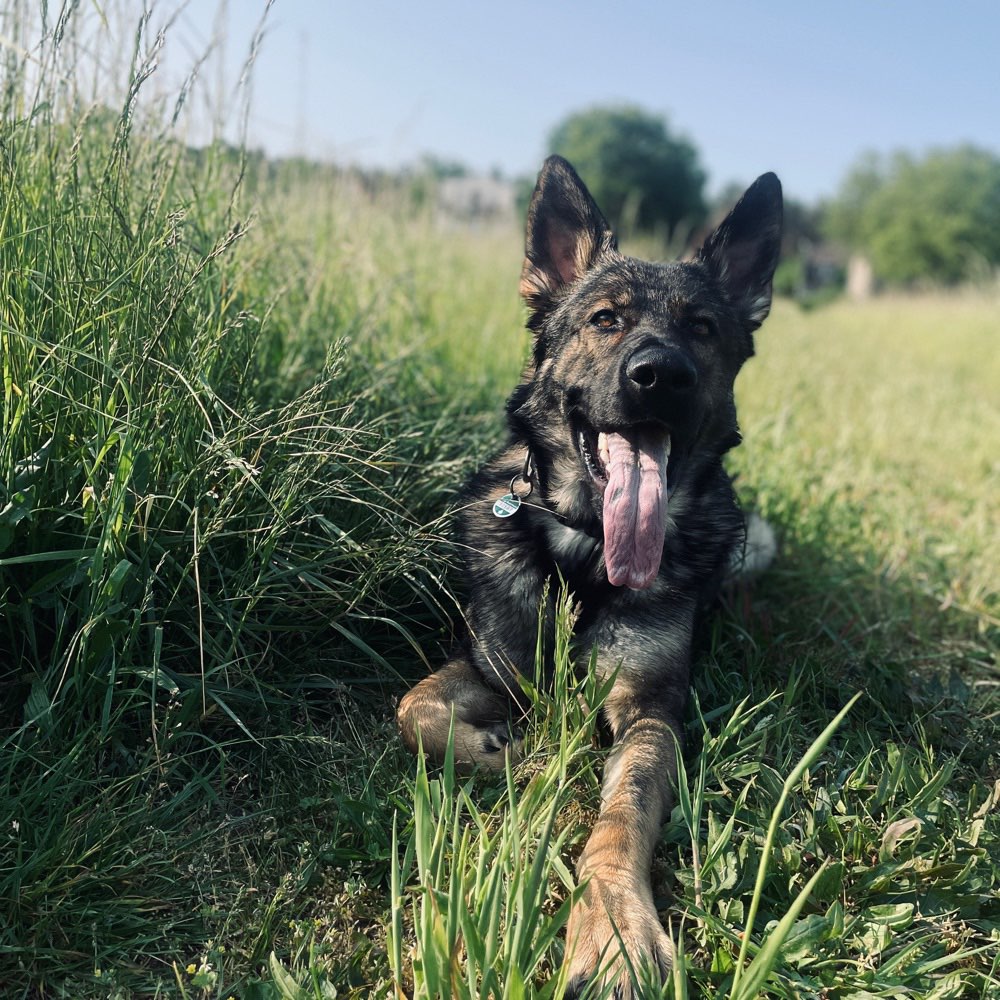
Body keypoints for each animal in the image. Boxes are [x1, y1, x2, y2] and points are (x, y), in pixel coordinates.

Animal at [396, 154, 780, 992]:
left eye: (702, 329)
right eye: (605, 320)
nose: (659, 374)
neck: (584, 560)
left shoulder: (648, 712)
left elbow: (622, 813)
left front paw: (612, 927)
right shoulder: (498, 670)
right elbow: (416, 711)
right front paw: (512, 760)